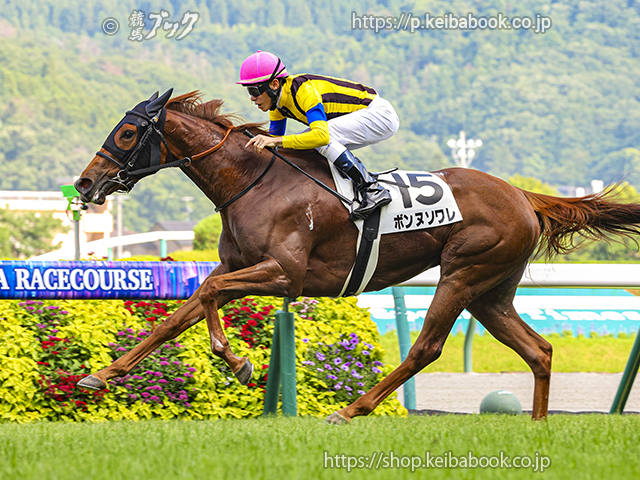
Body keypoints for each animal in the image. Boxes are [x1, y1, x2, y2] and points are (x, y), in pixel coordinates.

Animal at [74, 89, 640, 423]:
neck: (252, 181)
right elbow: (179, 316)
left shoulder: (285, 274)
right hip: (491, 291)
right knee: (537, 349)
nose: (85, 183)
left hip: (463, 274)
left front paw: (237, 362)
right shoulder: (238, 267)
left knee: (426, 349)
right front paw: (103, 374)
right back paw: (538, 424)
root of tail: (523, 195)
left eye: (127, 132)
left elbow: (210, 296)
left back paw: (351, 409)